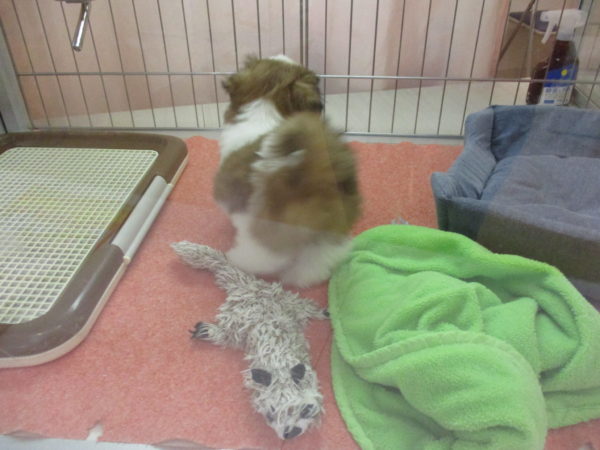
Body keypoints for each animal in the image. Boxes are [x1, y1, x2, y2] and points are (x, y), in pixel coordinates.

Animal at [214, 55, 361, 288]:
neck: (267, 107)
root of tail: (314, 173)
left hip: (269, 227)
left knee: (266, 256)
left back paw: (238, 259)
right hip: (334, 226)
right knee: (322, 256)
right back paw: (303, 276)